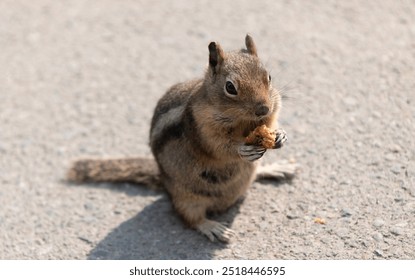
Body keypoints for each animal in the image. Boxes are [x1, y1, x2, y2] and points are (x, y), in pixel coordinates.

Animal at [66, 34, 298, 241]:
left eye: (268, 77)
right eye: (230, 87)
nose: (263, 109)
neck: (243, 121)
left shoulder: (272, 109)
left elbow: (272, 121)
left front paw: (280, 135)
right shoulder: (202, 127)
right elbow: (218, 146)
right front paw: (242, 149)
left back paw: (274, 168)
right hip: (186, 198)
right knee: (190, 218)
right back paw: (213, 227)